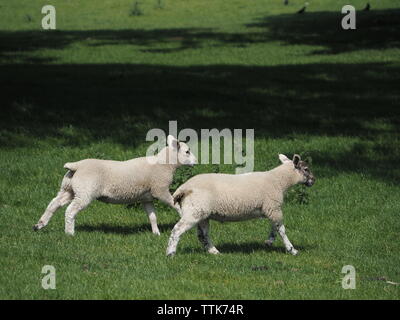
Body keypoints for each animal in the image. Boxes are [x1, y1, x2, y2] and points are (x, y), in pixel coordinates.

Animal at [32, 135, 197, 235]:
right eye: (187, 152)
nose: (196, 161)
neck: (164, 164)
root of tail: (75, 166)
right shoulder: (160, 190)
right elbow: (175, 205)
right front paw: (183, 216)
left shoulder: (147, 197)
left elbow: (152, 216)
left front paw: (156, 233)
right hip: (85, 192)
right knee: (70, 210)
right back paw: (69, 233)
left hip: (69, 189)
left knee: (54, 203)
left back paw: (39, 224)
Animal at [166, 154, 316, 256]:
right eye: (306, 169)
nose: (313, 180)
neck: (279, 181)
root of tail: (183, 188)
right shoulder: (273, 207)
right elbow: (282, 230)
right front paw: (292, 250)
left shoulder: (270, 209)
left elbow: (275, 227)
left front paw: (269, 241)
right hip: (194, 211)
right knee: (177, 230)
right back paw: (170, 253)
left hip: (201, 213)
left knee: (203, 235)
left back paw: (214, 252)